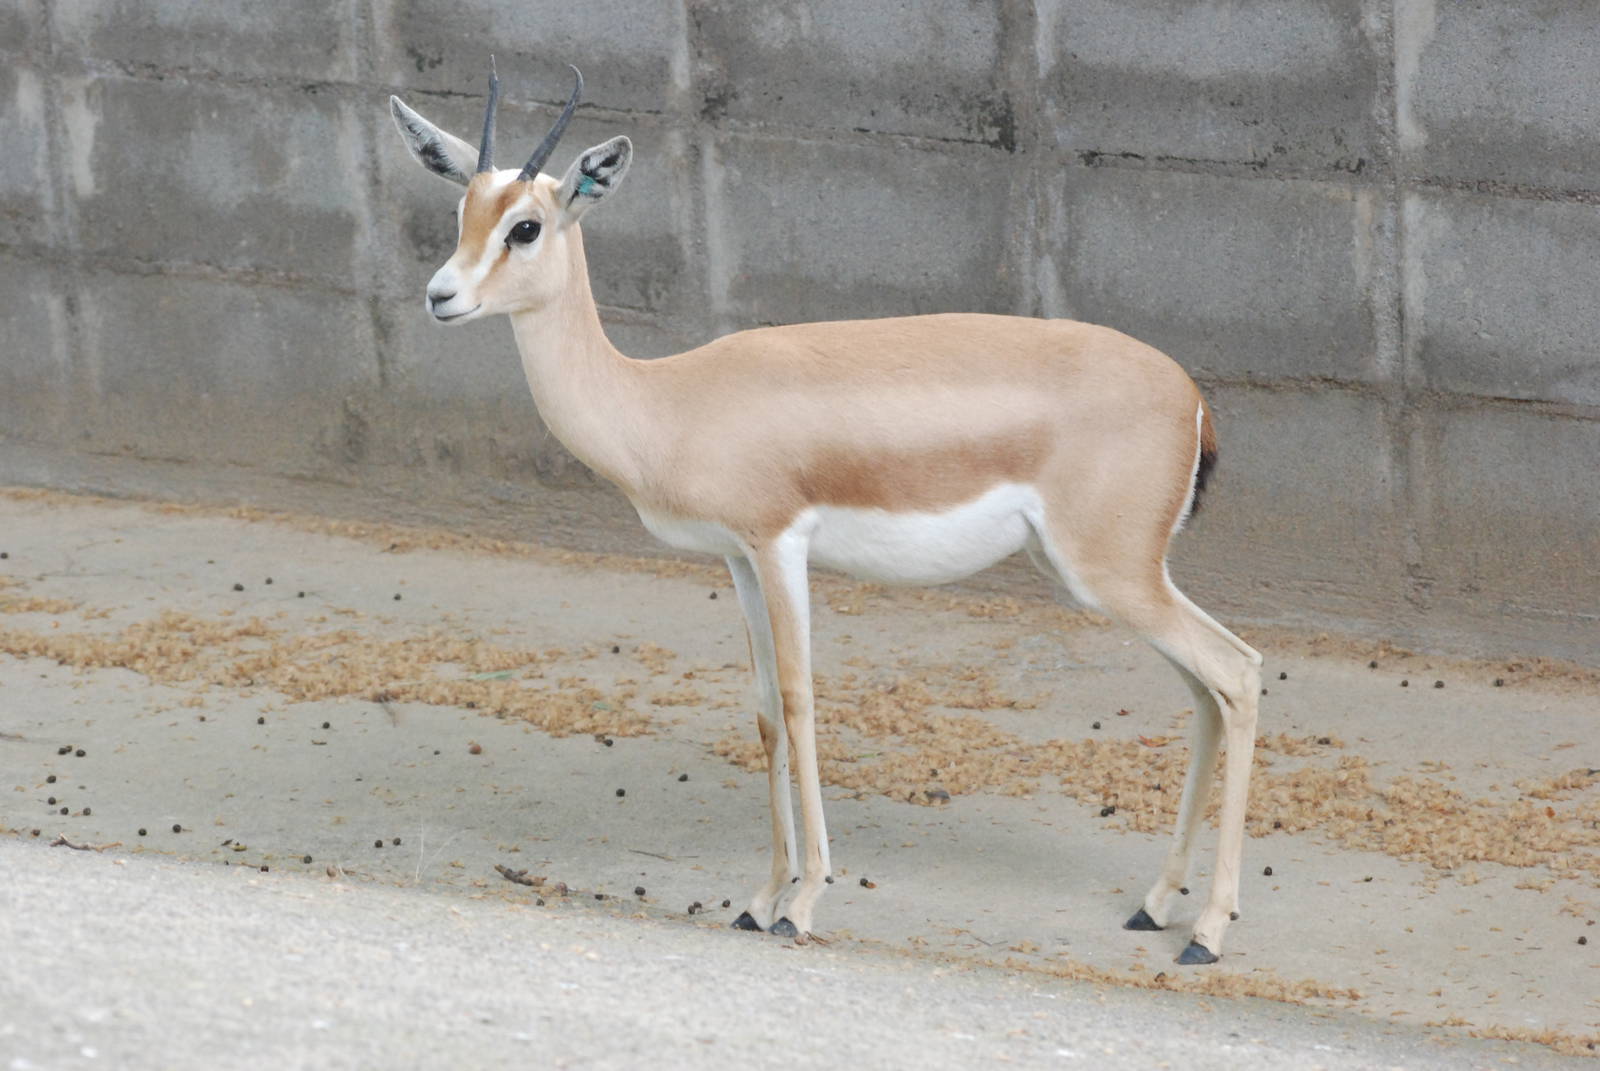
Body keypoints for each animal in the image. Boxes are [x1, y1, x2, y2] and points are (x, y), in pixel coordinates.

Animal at [390, 65, 1264, 965]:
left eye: (526, 226)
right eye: (462, 211)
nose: (440, 295)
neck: (668, 403)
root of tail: (1192, 395)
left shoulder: (781, 545)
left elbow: (802, 698)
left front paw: (804, 900)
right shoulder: (737, 558)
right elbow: (766, 712)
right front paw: (759, 896)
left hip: (1112, 573)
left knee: (1236, 671)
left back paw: (1208, 930)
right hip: (1109, 576)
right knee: (1207, 693)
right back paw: (1156, 904)